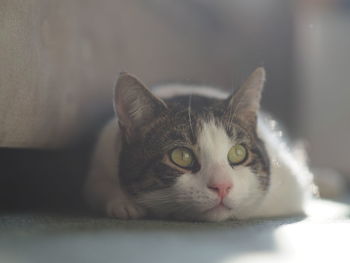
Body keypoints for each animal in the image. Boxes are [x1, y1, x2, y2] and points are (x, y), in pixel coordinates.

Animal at [83, 68, 314, 223]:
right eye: (181, 156)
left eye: (238, 153)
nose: (222, 186)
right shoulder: (101, 156)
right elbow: (97, 186)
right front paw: (124, 204)